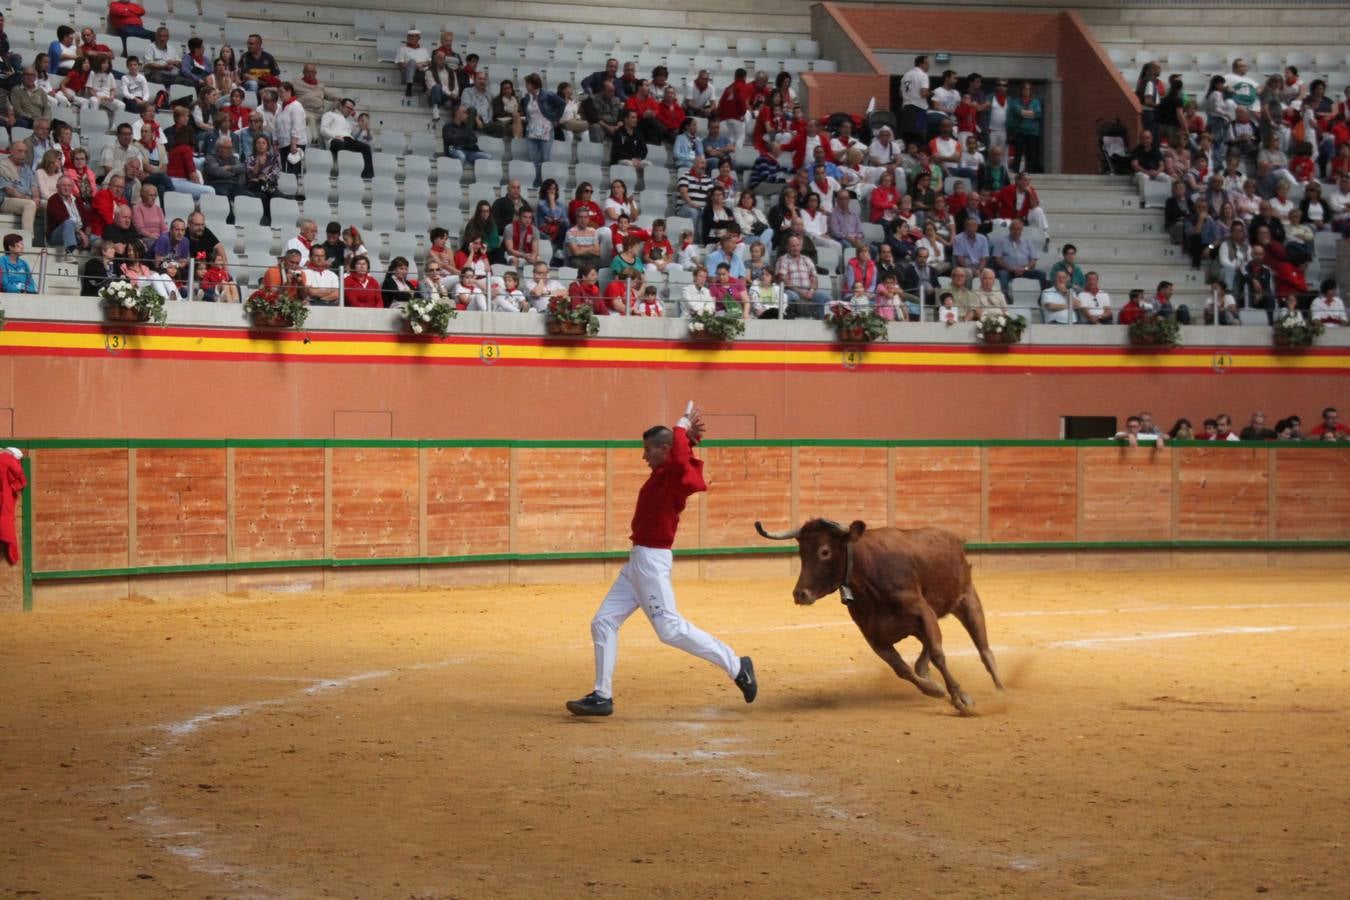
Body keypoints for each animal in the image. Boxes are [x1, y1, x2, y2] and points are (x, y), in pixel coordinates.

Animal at [761, 518, 1004, 712]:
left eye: (824, 551)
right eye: (802, 552)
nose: (800, 594)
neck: (869, 580)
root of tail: (954, 538)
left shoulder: (924, 612)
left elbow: (938, 655)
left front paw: (961, 699)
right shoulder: (875, 637)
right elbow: (902, 669)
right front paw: (934, 689)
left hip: (967, 599)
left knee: (984, 650)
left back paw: (1001, 689)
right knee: (924, 655)